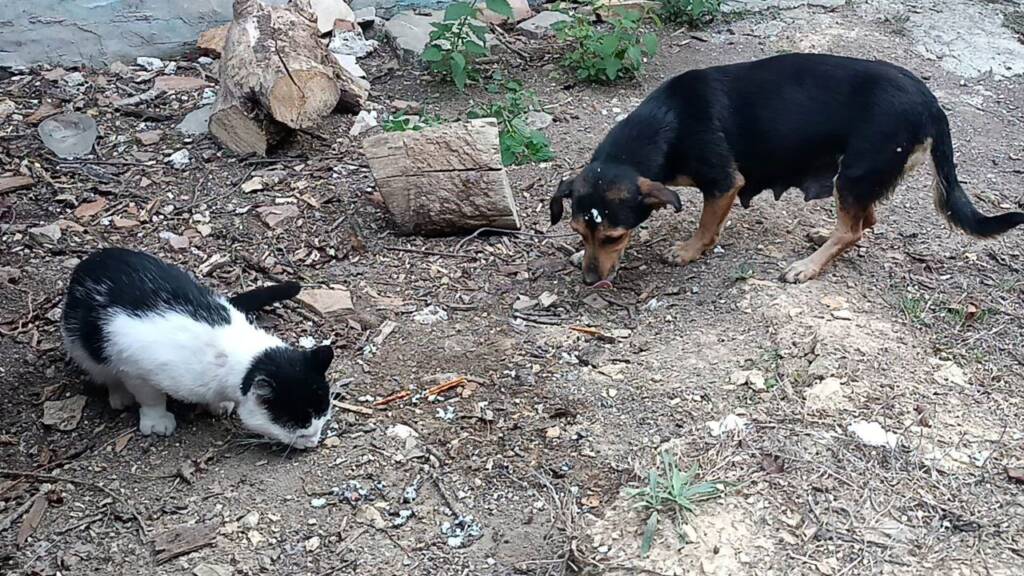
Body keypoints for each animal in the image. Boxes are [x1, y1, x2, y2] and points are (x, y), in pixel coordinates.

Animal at [60, 247, 331, 448]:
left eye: (323, 417)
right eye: (299, 426)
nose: (314, 441)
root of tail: (90, 261)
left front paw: (219, 404)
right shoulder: (137, 369)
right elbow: (151, 398)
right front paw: (157, 420)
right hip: (83, 348)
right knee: (104, 373)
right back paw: (119, 394)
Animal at [552, 52, 1024, 284]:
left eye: (614, 237)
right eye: (579, 231)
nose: (589, 281)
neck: (667, 122)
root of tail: (931, 104)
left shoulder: (724, 183)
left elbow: (705, 226)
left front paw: (688, 251)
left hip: (855, 172)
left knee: (853, 228)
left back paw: (809, 265)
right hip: (858, 176)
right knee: (865, 220)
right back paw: (822, 236)